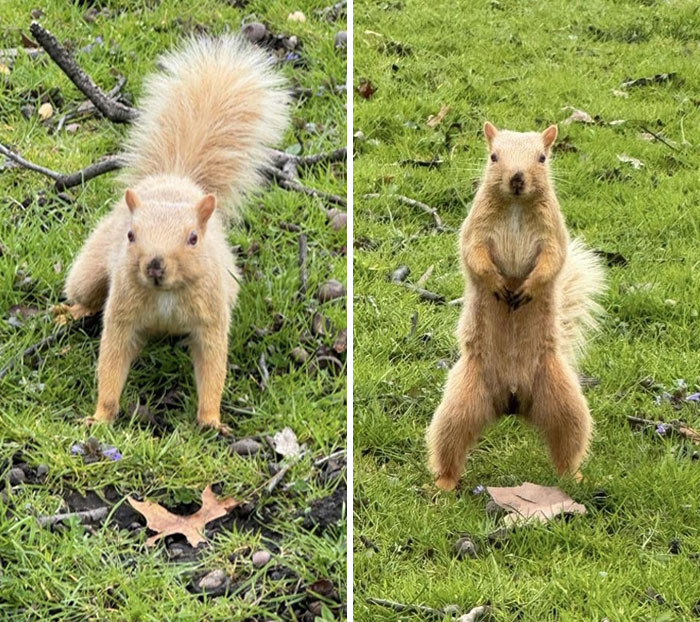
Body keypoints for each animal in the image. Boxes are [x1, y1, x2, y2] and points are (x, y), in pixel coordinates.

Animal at [64, 36, 289, 433]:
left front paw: (212, 420)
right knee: (85, 293)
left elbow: (212, 365)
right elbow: (112, 362)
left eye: (193, 239)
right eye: (131, 235)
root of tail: (174, 179)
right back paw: (69, 312)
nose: (154, 265)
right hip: (90, 271)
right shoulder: (121, 314)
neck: (165, 294)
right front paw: (101, 416)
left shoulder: (212, 317)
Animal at [426, 122, 605, 491]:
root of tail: (511, 401)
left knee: (568, 442)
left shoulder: (553, 235)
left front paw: (528, 288)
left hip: (563, 400)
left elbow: (551, 262)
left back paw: (575, 477)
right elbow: (475, 256)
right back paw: (444, 484)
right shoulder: (475, 231)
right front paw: (497, 284)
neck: (516, 206)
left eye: (542, 157)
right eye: (494, 156)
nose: (518, 178)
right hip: (461, 402)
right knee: (449, 442)